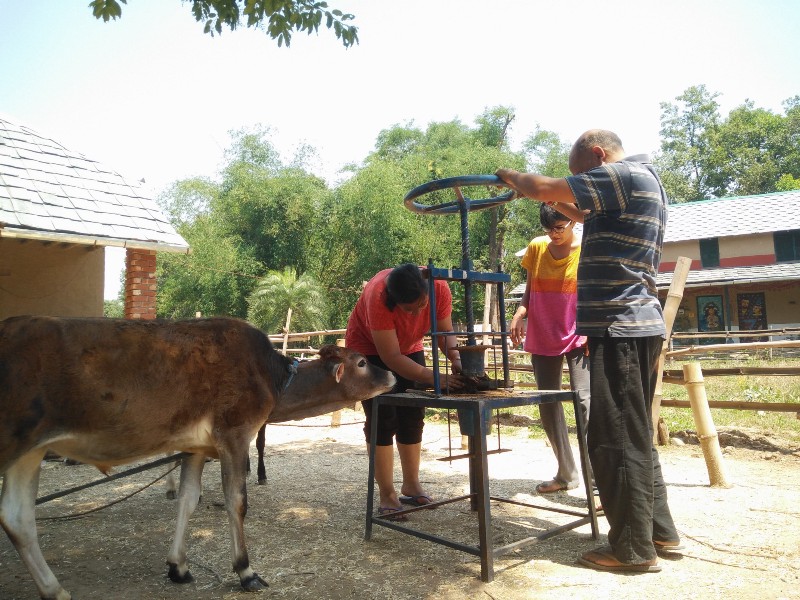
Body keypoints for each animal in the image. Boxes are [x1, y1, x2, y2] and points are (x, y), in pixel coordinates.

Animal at [0, 316, 394, 596]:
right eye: (362, 362)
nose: (390, 374)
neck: (271, 379)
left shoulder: (195, 446)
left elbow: (188, 499)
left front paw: (178, 566)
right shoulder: (234, 433)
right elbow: (236, 500)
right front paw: (246, 571)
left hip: (30, 452)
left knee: (18, 518)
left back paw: (55, 590)